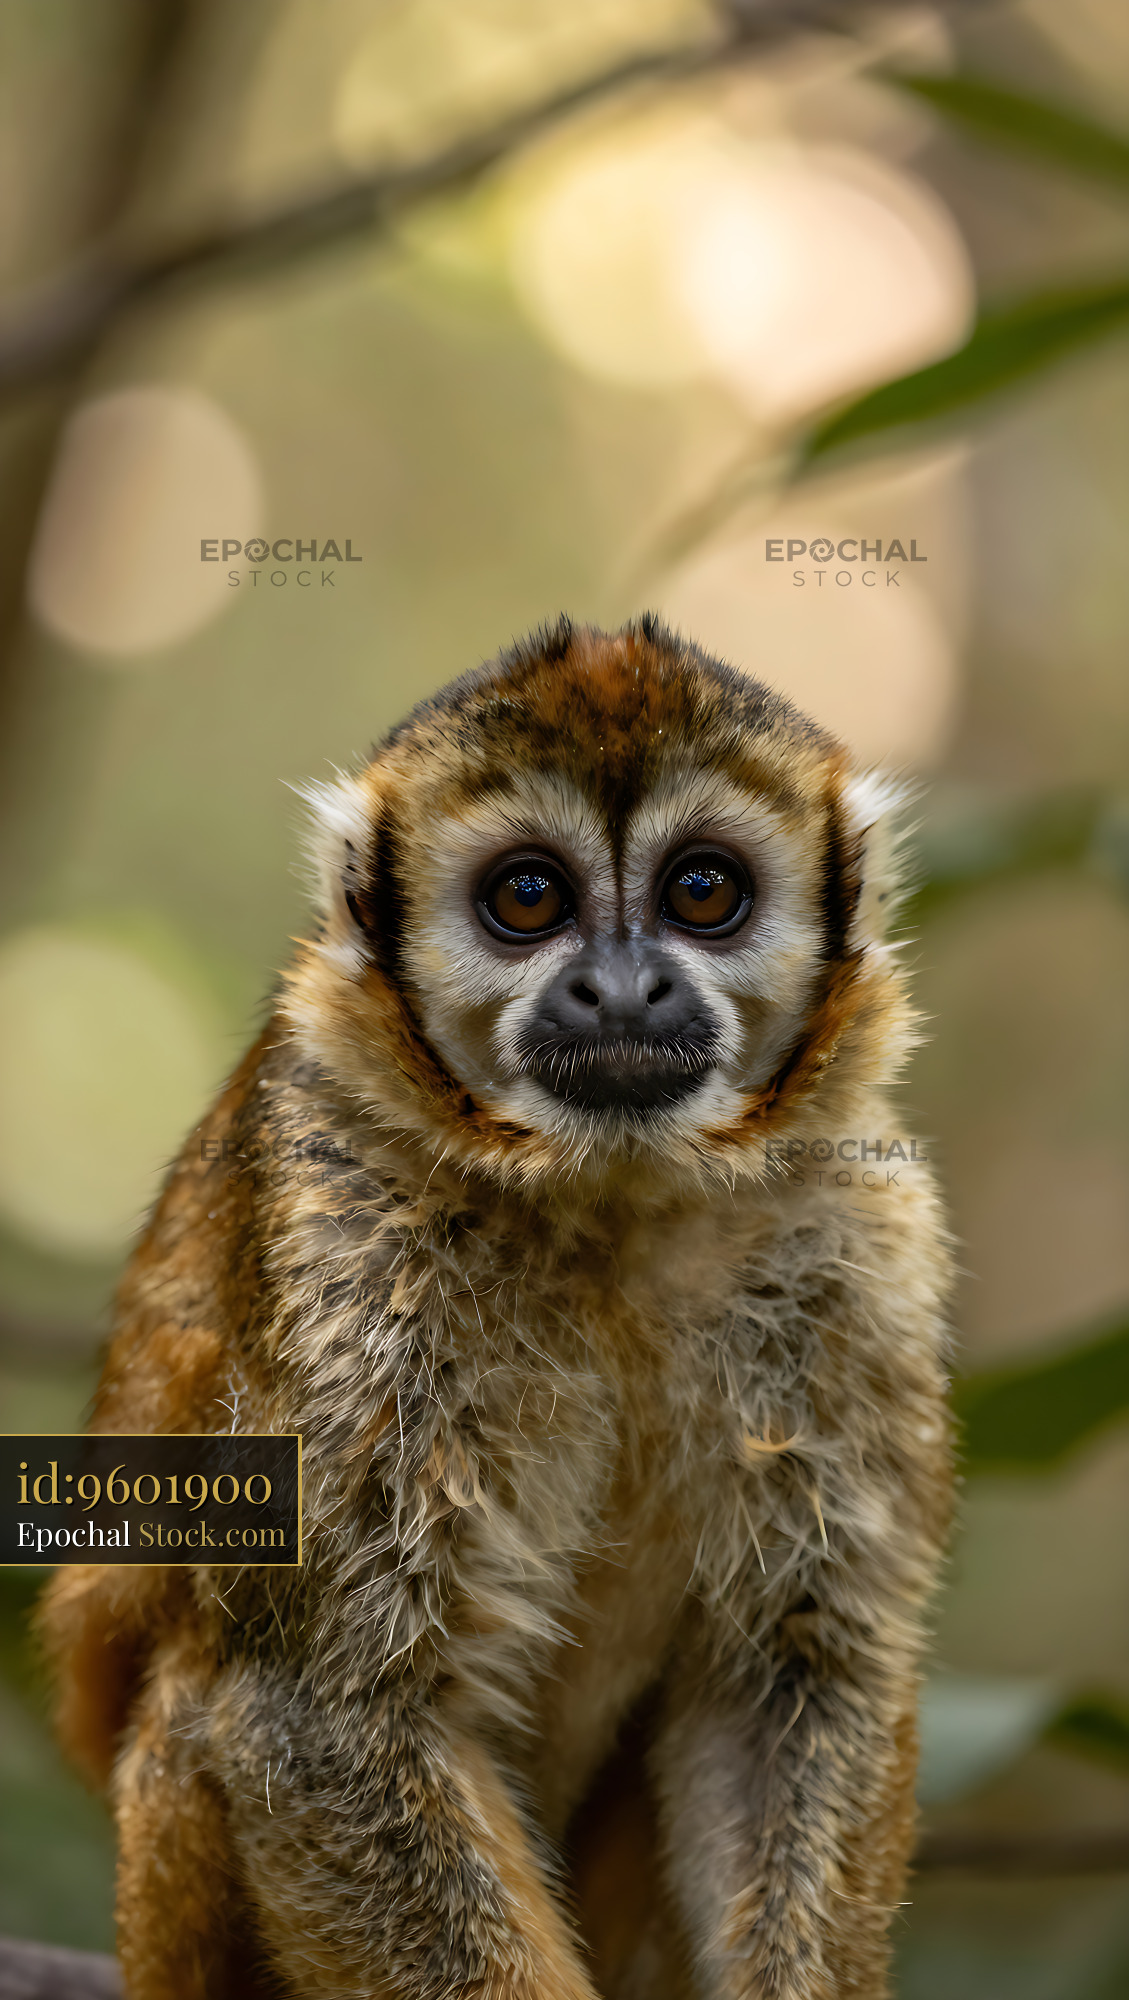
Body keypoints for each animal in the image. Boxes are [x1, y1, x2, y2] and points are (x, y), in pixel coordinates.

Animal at [40, 617, 952, 2000]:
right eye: (528, 900)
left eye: (702, 891)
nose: (620, 988)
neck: (610, 1204)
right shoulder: (338, 1241)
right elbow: (320, 1708)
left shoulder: (860, 1238)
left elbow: (793, 1674)